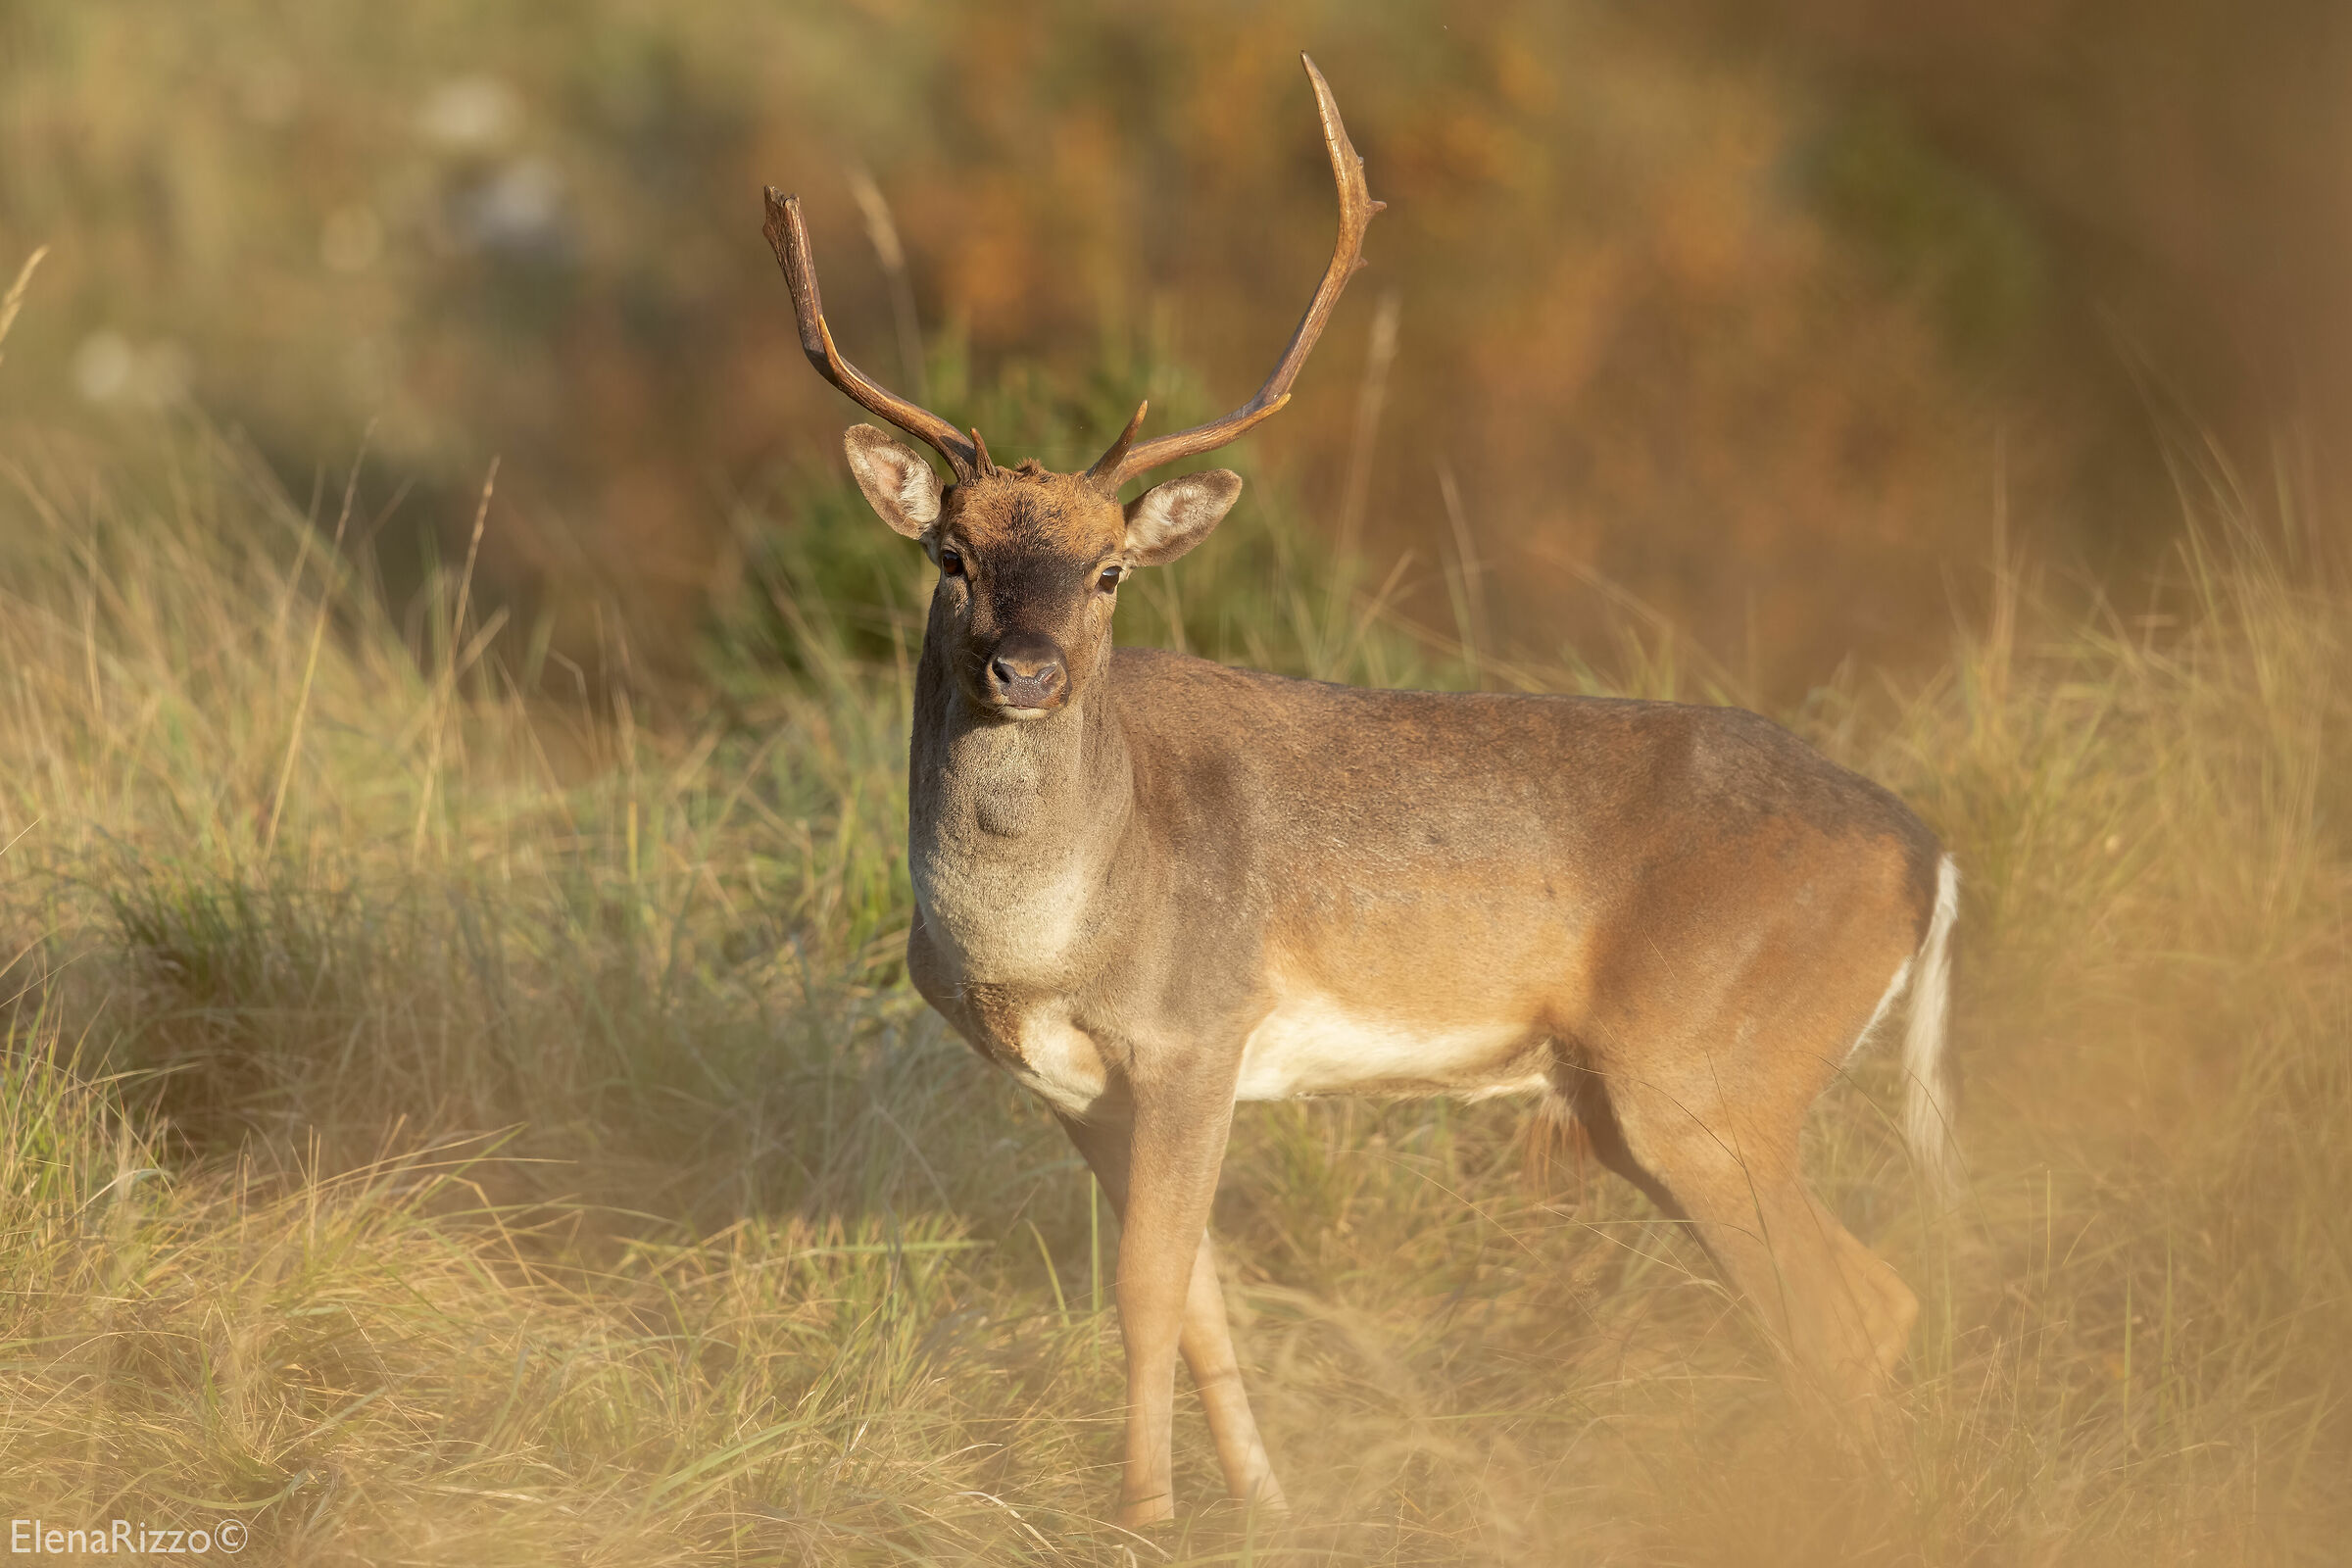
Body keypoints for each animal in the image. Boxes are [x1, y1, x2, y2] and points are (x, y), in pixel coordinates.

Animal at [761, 54, 1961, 1528]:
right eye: (949, 551)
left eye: (1109, 570)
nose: (1025, 670)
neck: (1043, 936)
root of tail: (1927, 855)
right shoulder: (1076, 1085)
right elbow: (1202, 1300)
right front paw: (1266, 1509)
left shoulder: (1198, 1030)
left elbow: (1147, 1293)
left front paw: (1145, 1518)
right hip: (1660, 1099)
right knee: (1864, 1300)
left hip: (1705, 1074)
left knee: (1851, 1307)